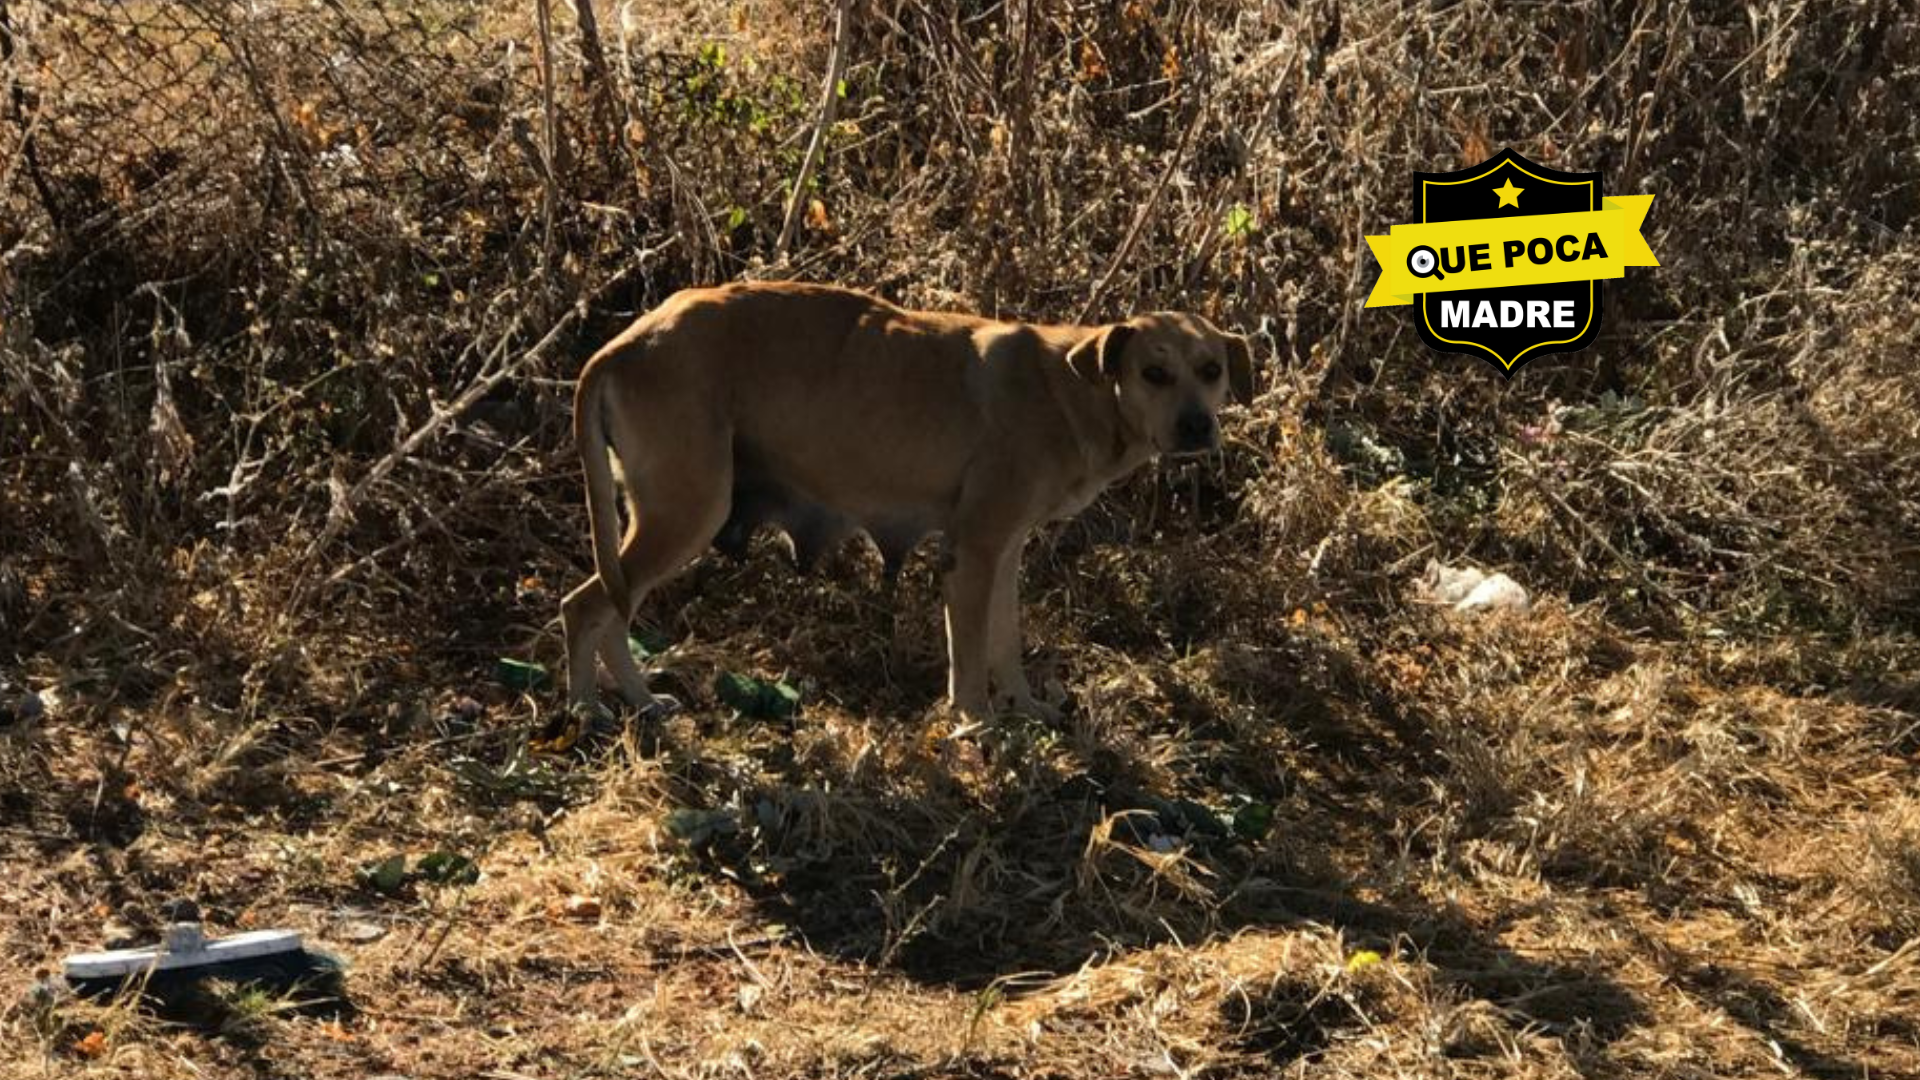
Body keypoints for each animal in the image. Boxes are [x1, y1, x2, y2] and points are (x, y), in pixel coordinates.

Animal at [560, 284, 1251, 722]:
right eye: (1153, 374)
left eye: (1210, 369)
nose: (1197, 427)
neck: (1075, 390)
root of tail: (625, 343)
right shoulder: (973, 557)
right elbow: (969, 661)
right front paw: (977, 728)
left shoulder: (1003, 553)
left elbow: (1006, 642)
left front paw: (1026, 709)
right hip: (687, 512)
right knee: (584, 606)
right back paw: (588, 708)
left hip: (658, 519)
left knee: (611, 609)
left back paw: (639, 703)